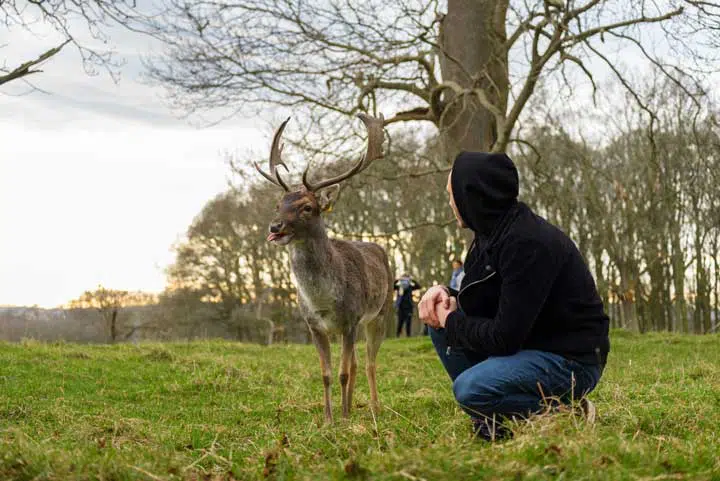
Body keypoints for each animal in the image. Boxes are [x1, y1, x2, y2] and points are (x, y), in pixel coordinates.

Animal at [256, 111, 394, 420]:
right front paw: (330, 418)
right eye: (278, 205)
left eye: (308, 207)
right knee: (356, 364)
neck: (323, 301)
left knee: (369, 363)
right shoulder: (314, 326)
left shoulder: (350, 320)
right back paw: (351, 406)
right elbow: (327, 375)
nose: (274, 227)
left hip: (380, 314)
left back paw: (375, 406)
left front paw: (342, 418)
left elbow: (342, 373)